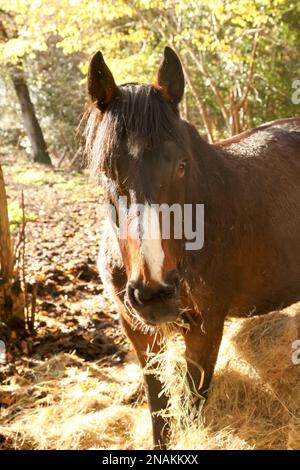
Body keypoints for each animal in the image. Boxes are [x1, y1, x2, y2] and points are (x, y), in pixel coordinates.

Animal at [84, 46, 300, 448]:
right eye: (106, 171)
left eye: (182, 165)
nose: (155, 293)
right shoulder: (137, 328)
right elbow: (159, 407)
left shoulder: (206, 326)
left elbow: (192, 407)